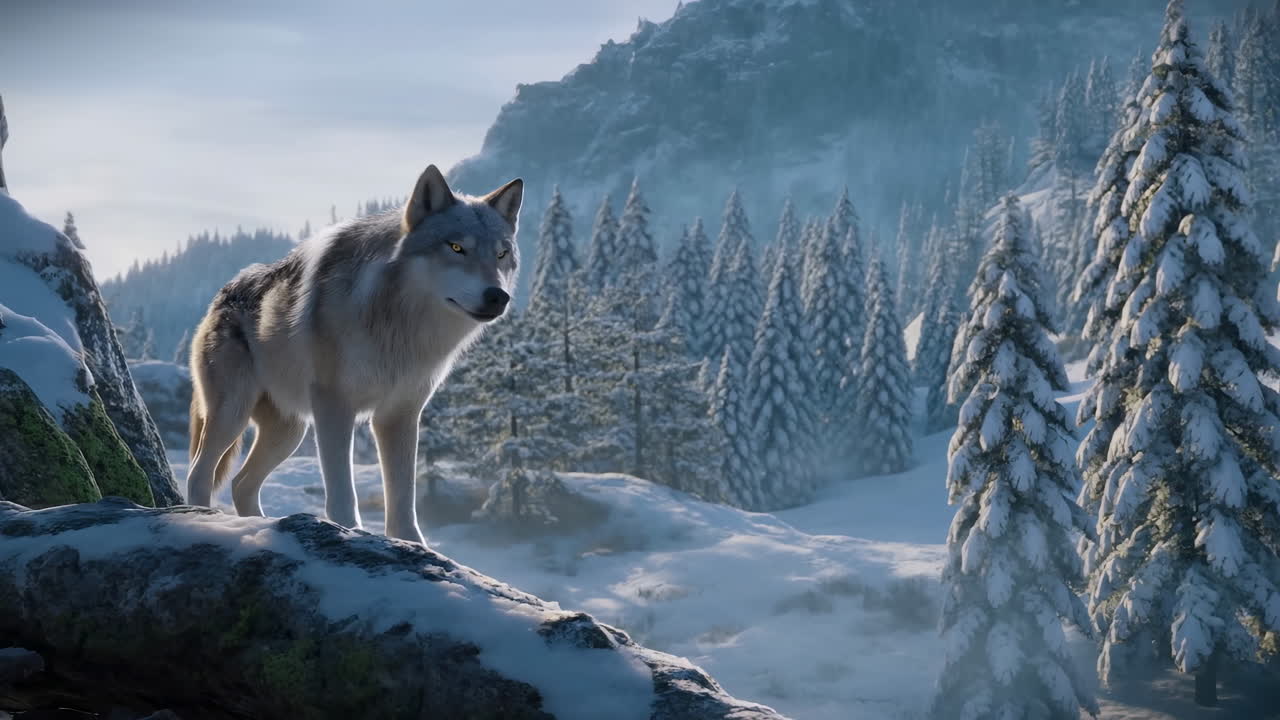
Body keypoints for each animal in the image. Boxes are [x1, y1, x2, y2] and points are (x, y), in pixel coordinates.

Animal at [186, 165, 522, 543]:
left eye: (501, 254)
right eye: (456, 247)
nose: (497, 296)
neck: (400, 325)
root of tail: (220, 297)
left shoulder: (400, 414)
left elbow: (403, 498)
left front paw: (410, 543)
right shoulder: (335, 405)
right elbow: (342, 491)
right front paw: (348, 531)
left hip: (290, 431)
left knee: (241, 483)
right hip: (234, 413)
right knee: (199, 474)